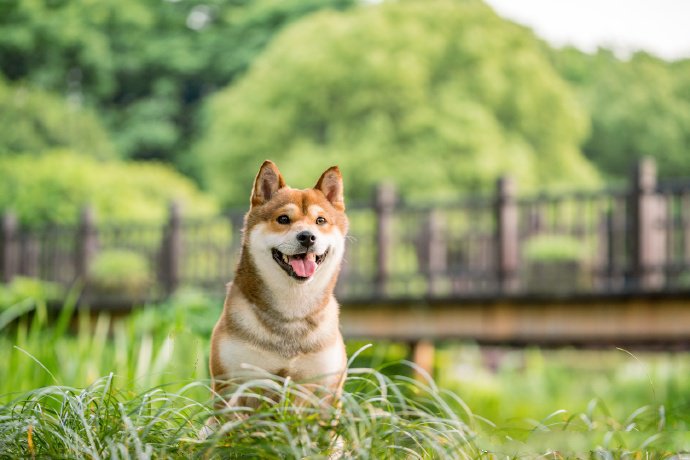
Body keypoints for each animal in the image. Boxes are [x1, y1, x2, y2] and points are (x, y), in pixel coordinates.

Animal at [207, 161, 346, 406]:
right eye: (283, 219)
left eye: (320, 221)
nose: (307, 236)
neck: (292, 310)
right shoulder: (235, 384)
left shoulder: (325, 389)